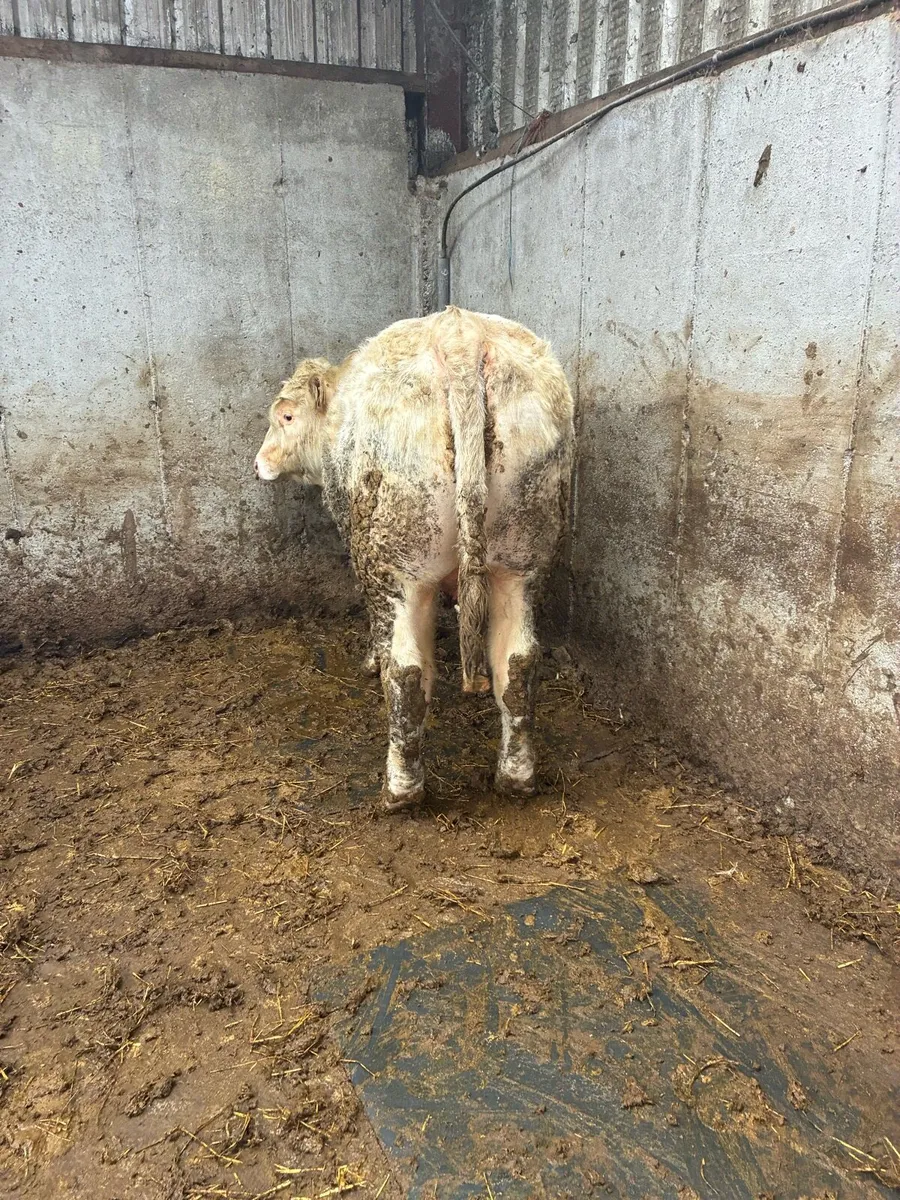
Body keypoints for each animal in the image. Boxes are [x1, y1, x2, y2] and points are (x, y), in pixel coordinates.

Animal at [255, 306, 574, 812]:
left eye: (286, 415)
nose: (258, 463)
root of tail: (461, 333)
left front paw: (370, 661)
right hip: (522, 559)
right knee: (518, 665)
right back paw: (515, 777)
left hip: (397, 567)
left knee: (406, 674)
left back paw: (401, 789)